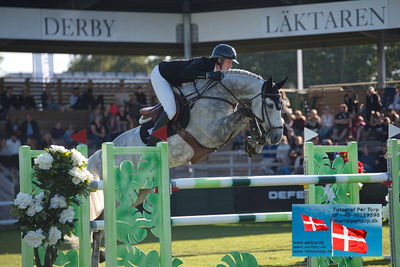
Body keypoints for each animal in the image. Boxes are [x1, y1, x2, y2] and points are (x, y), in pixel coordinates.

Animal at [86, 69, 284, 222]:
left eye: (282, 105)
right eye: (269, 104)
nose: (277, 137)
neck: (219, 94)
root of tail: (100, 154)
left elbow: (247, 115)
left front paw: (255, 143)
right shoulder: (213, 131)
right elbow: (245, 112)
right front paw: (255, 139)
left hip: (139, 191)